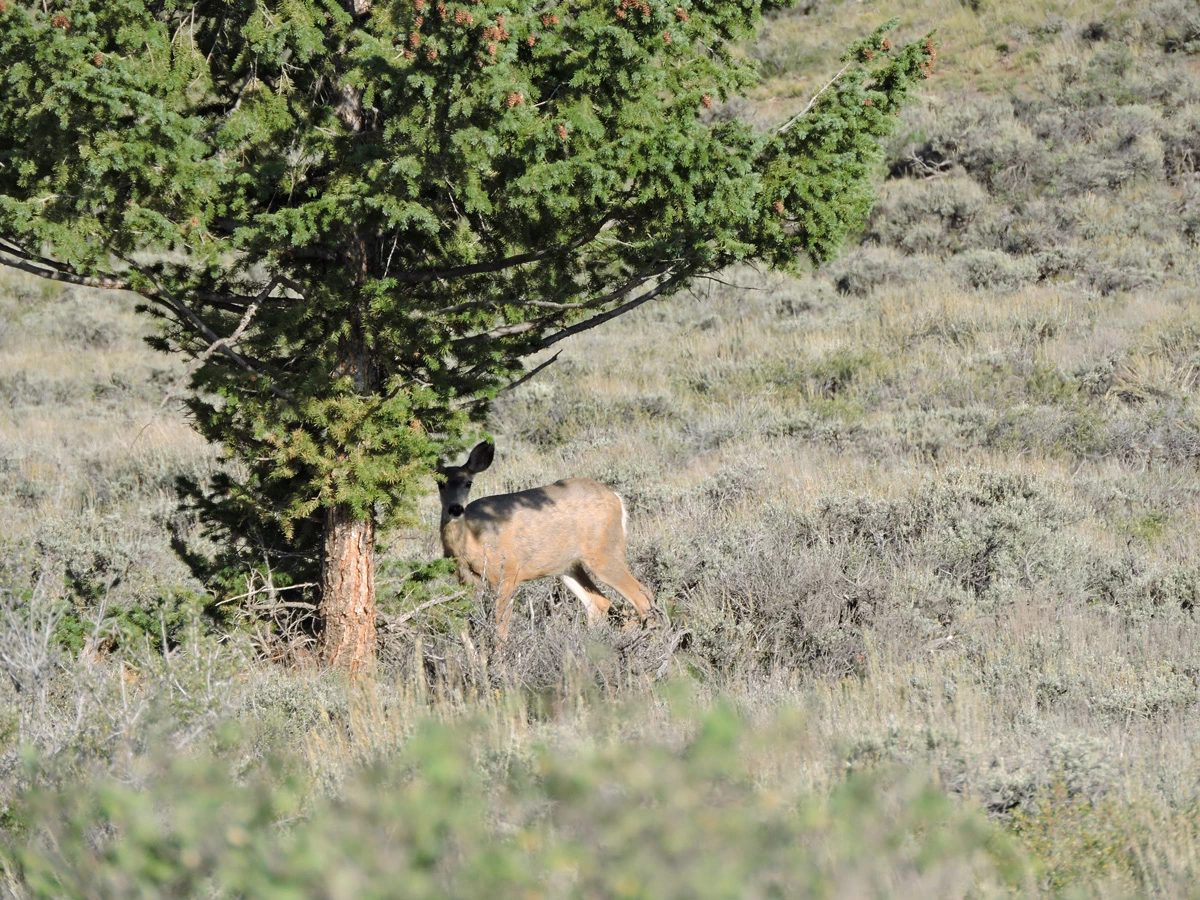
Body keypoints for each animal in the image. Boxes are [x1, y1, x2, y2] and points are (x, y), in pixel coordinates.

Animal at [436, 441, 652, 643]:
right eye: (440, 483)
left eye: (468, 483)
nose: (455, 509)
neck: (472, 540)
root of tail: (617, 499)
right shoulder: (466, 581)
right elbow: (467, 629)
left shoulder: (507, 574)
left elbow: (500, 631)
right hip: (567, 566)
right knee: (598, 602)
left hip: (605, 552)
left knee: (643, 597)